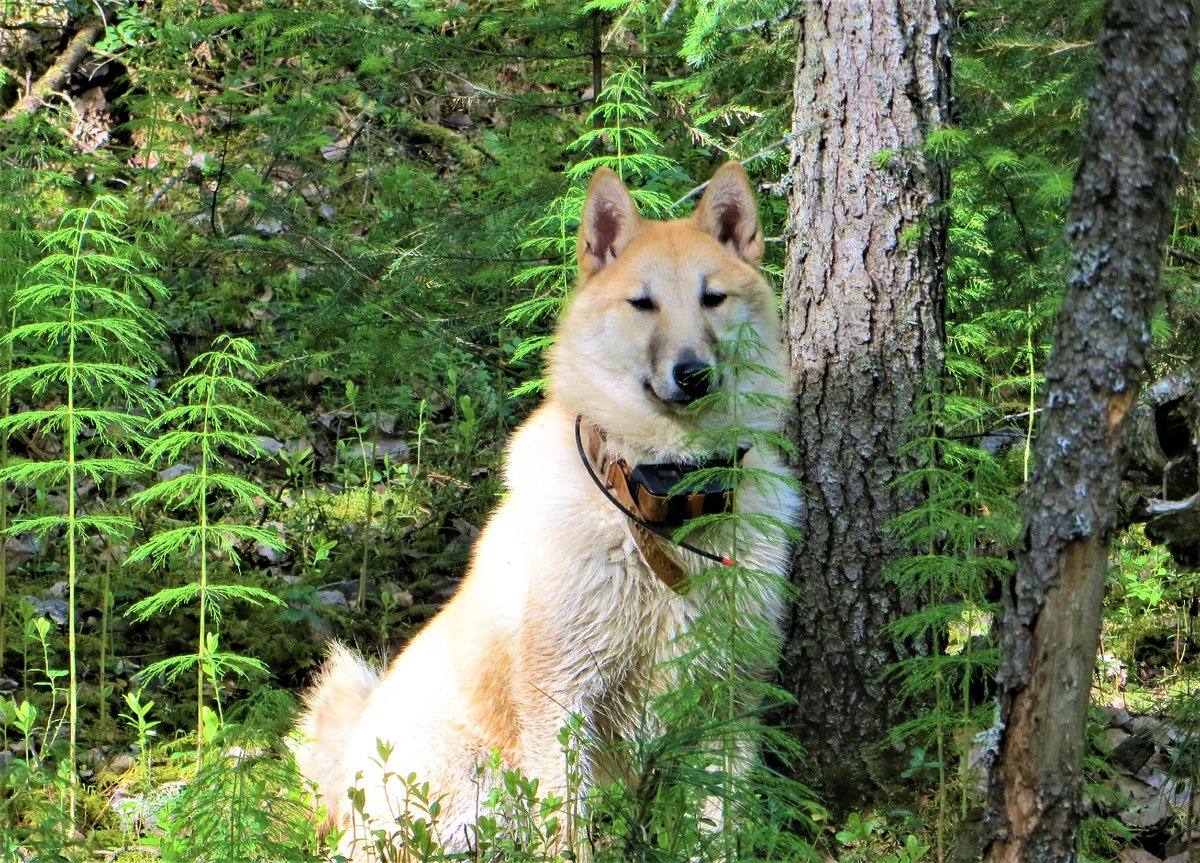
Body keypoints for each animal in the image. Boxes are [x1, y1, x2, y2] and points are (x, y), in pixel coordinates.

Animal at [294, 162, 799, 858]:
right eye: (643, 303)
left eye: (713, 298)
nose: (692, 373)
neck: (665, 500)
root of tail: (345, 769)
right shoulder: (563, 695)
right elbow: (569, 827)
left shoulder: (730, 692)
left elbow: (720, 825)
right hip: (460, 799)